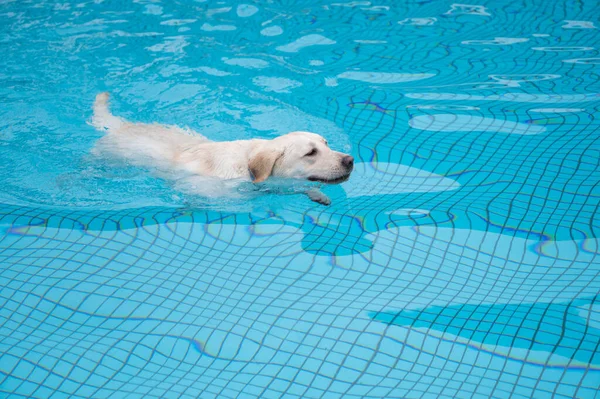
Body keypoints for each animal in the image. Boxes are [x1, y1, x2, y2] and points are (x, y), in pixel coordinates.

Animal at [89, 92, 352, 205]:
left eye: (326, 144)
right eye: (310, 153)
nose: (350, 160)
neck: (246, 168)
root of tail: (120, 125)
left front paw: (318, 195)